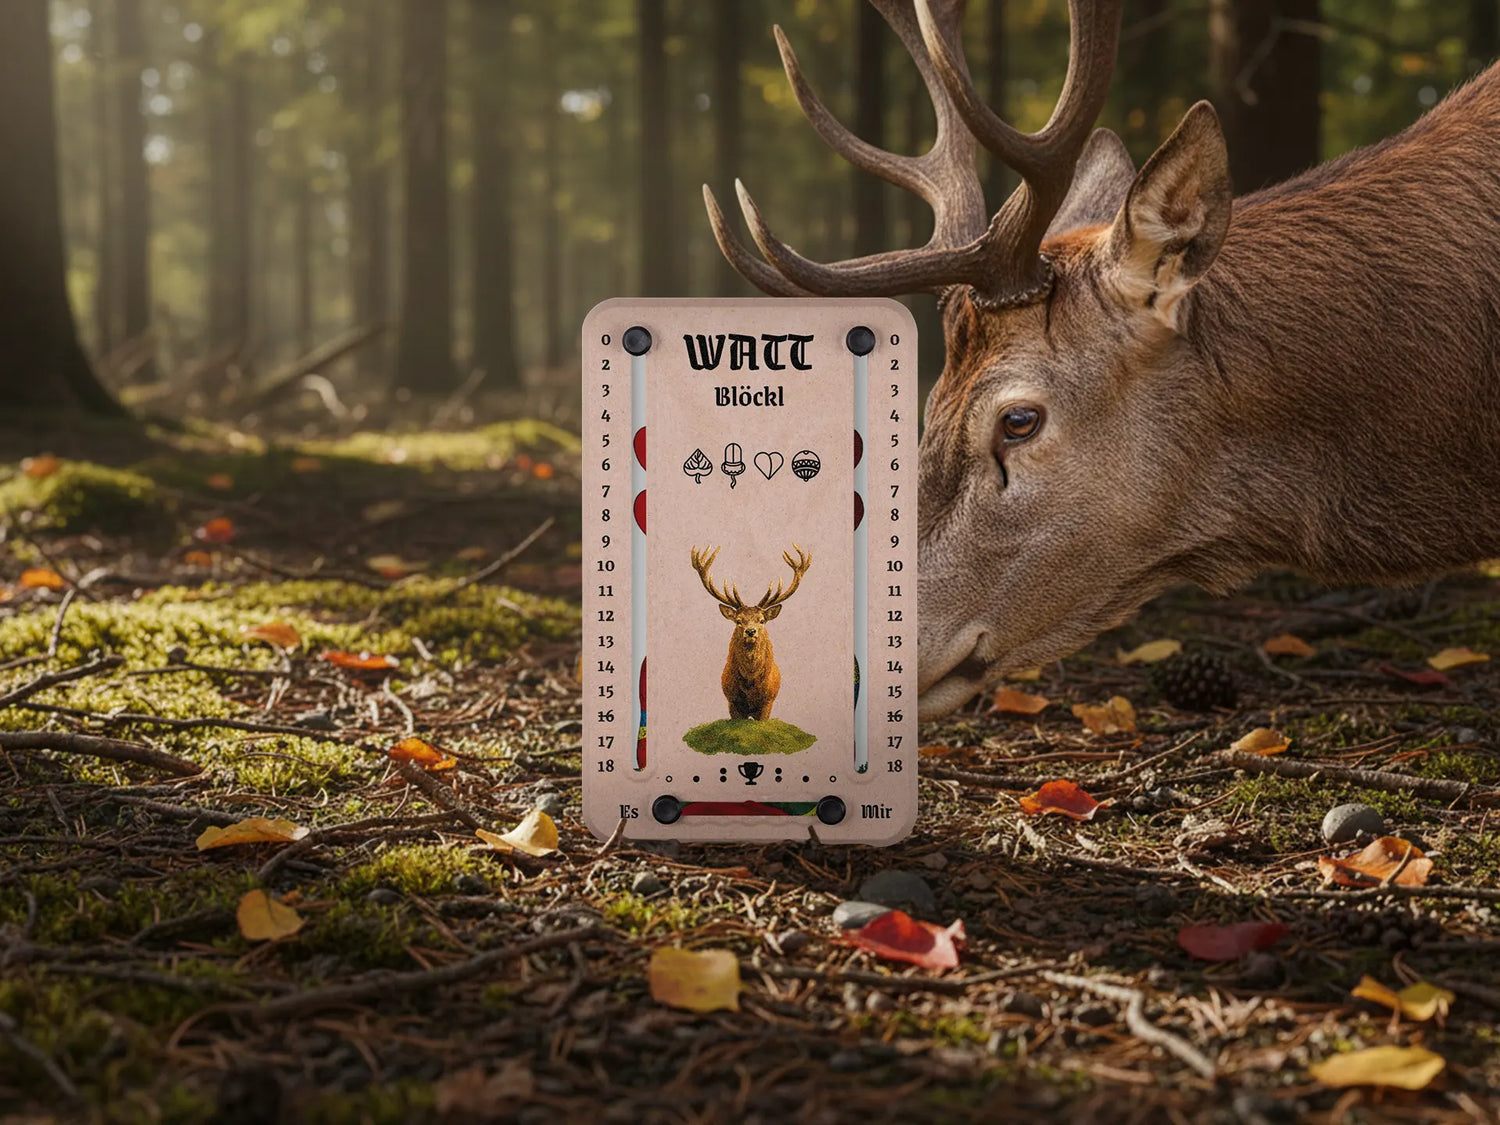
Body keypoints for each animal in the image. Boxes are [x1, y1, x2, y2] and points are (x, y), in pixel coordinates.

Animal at [691, 544, 812, 721]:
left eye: (761, 620)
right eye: (738, 620)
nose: (750, 631)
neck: (750, 687)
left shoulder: (768, 702)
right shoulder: (732, 702)